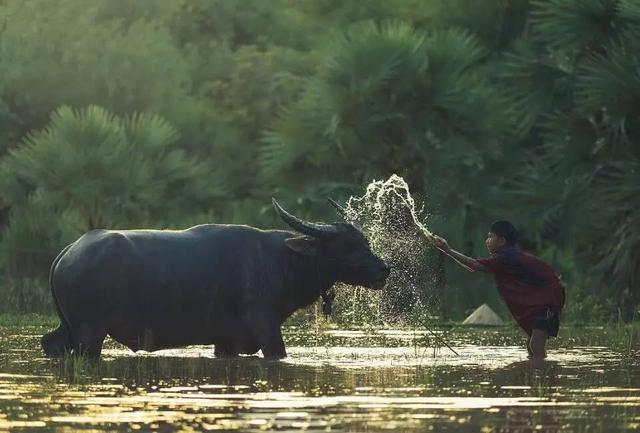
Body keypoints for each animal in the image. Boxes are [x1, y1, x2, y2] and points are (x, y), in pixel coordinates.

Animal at [42, 198, 390, 358]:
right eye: (347, 246)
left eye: (365, 241)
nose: (383, 270)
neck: (278, 263)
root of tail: (67, 253)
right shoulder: (267, 330)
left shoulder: (226, 342)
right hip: (89, 334)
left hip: (69, 329)